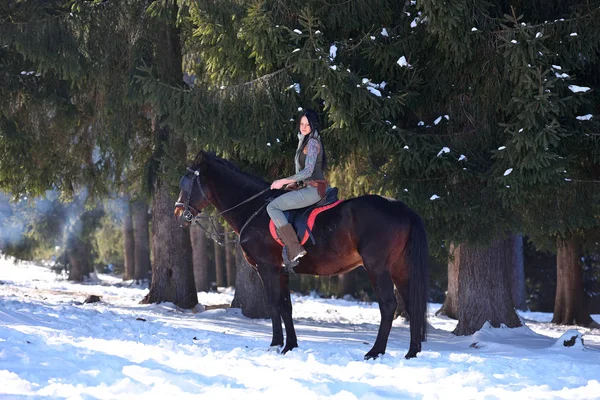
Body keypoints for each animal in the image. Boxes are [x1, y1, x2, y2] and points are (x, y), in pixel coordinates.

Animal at [172, 152, 426, 360]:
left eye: (186, 182)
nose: (178, 213)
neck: (255, 210)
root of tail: (402, 208)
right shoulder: (282, 271)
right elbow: (287, 307)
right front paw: (289, 346)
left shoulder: (267, 268)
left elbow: (274, 304)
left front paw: (275, 344)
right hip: (400, 270)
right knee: (411, 306)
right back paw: (411, 352)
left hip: (377, 268)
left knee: (388, 305)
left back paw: (375, 351)